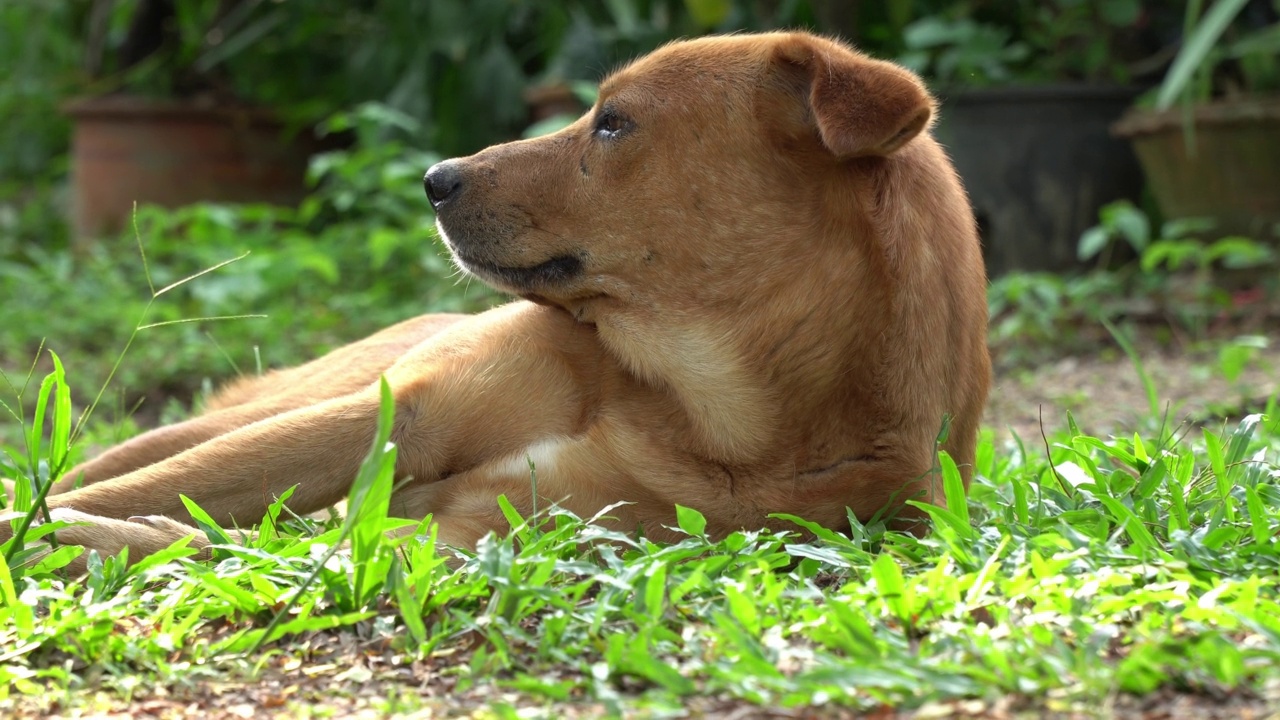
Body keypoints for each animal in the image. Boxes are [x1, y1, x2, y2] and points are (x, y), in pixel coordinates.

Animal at [0, 30, 988, 566]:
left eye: (613, 123)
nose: (434, 179)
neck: (709, 406)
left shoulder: (485, 531)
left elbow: (217, 540)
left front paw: (93, 544)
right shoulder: (402, 417)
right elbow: (136, 498)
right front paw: (53, 530)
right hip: (275, 405)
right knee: (114, 463)